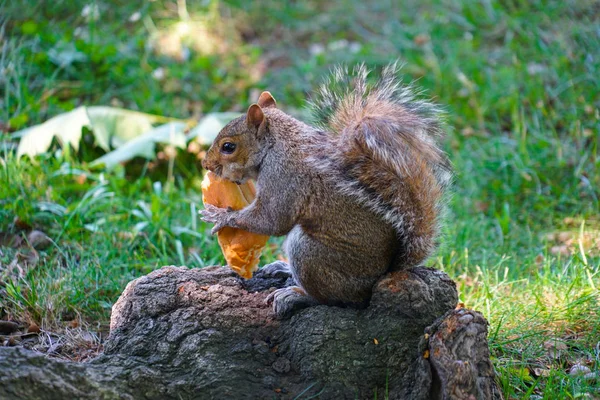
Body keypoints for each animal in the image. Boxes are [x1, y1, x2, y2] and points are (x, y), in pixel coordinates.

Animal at [202, 62, 450, 318]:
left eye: (228, 147)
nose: (205, 164)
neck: (276, 144)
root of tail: (381, 274)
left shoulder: (284, 176)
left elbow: (271, 219)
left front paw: (221, 216)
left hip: (311, 254)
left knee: (333, 299)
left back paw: (297, 295)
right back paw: (283, 268)